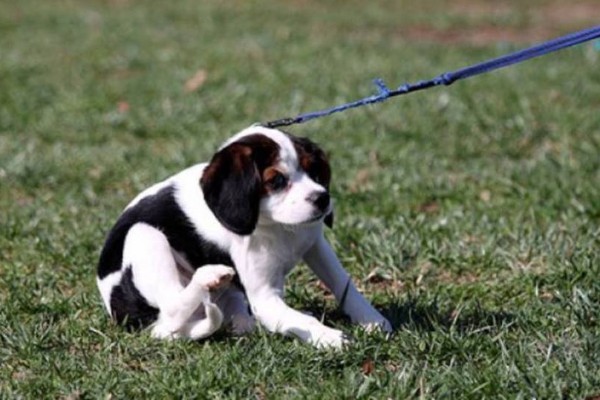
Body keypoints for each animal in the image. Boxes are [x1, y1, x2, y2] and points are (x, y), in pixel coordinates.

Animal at [96, 126, 392, 348]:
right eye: (276, 181)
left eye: (314, 171)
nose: (323, 198)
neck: (277, 227)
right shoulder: (265, 298)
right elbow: (299, 319)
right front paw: (330, 337)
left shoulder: (315, 243)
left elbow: (344, 284)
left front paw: (371, 319)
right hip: (144, 235)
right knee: (172, 306)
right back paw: (208, 277)